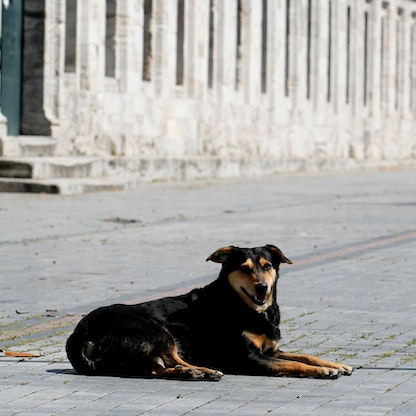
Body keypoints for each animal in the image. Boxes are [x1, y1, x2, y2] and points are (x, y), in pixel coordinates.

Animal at [66, 244, 352, 380]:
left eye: (267, 266)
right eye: (245, 268)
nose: (262, 288)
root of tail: (79, 335)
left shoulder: (271, 350)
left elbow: (306, 355)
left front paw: (335, 364)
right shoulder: (249, 358)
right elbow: (294, 363)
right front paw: (323, 372)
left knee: (157, 369)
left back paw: (190, 374)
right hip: (157, 332)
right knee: (172, 360)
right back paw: (203, 371)